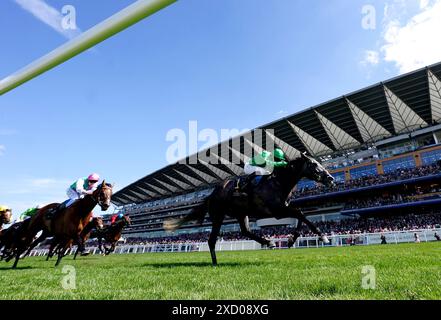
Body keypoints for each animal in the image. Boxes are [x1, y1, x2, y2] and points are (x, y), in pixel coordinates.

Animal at [164, 152, 334, 264]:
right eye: (314, 164)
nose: (330, 178)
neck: (278, 182)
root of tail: (212, 193)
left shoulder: (283, 208)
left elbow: (300, 215)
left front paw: (292, 240)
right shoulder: (277, 211)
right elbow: (300, 214)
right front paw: (322, 236)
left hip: (241, 214)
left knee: (245, 231)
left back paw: (268, 242)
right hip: (218, 216)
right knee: (212, 240)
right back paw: (215, 262)